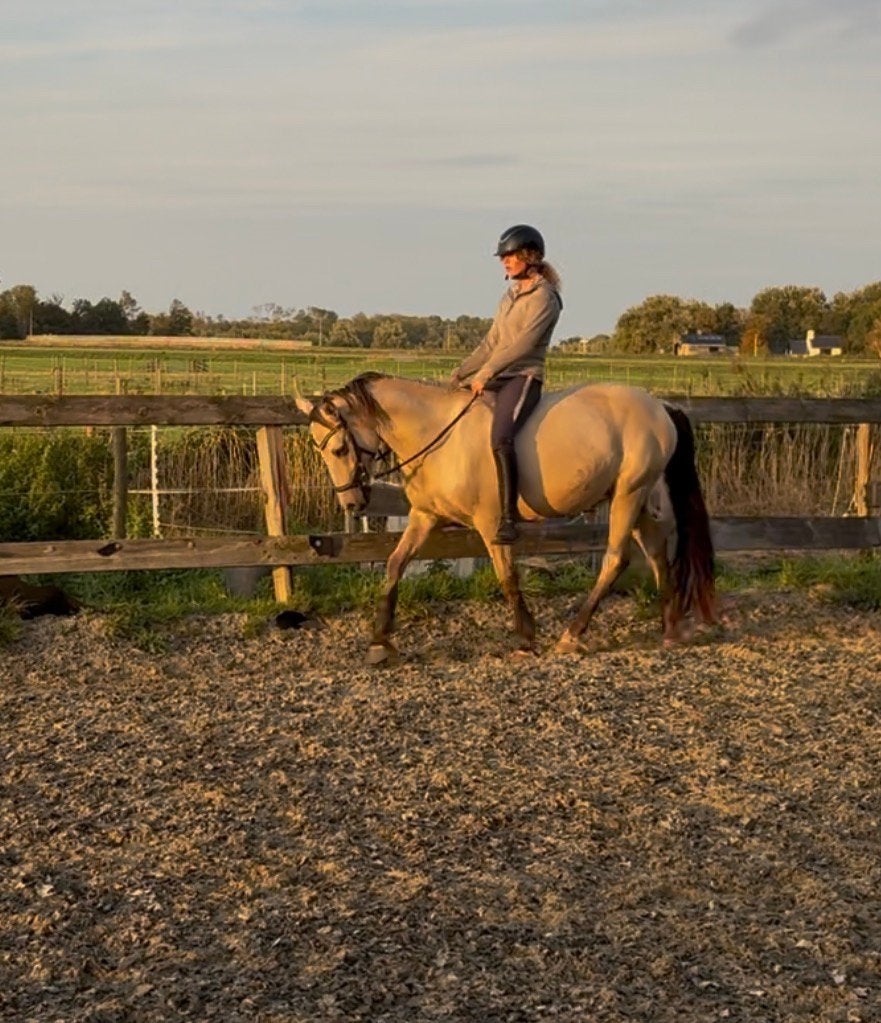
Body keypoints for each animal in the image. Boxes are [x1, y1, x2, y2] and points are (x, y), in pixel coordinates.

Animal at [295, 372, 717, 664]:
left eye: (338, 447)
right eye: (318, 449)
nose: (352, 504)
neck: (438, 436)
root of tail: (661, 406)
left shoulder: (490, 522)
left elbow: (507, 576)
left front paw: (526, 639)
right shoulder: (424, 516)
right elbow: (395, 564)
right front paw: (380, 641)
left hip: (629, 495)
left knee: (615, 559)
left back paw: (572, 634)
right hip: (637, 498)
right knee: (658, 553)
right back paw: (670, 627)